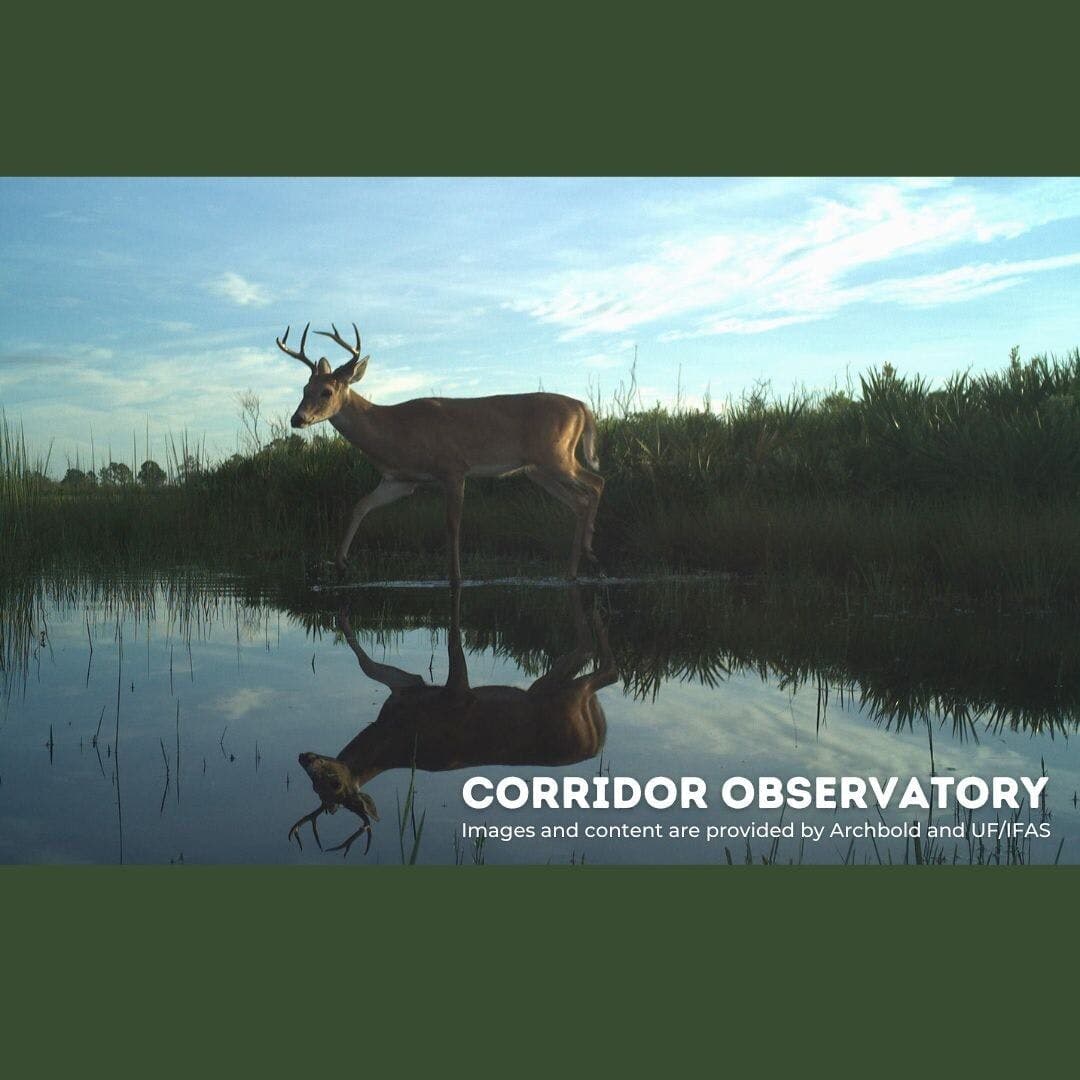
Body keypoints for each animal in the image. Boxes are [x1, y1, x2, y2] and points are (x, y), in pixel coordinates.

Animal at [276, 322, 605, 583]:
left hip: (557, 456)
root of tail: (582, 407)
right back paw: (578, 564)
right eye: (304, 389)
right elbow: (360, 505)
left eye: (327, 392)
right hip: (538, 470)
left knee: (595, 483)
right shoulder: (401, 481)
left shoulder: (453, 468)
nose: (297, 419)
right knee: (580, 499)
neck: (393, 430)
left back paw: (585, 556)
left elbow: (452, 524)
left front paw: (455, 577)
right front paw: (341, 562)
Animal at [287, 585, 617, 857]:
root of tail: (598, 742)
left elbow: (368, 663)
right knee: (598, 662)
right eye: (314, 787)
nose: (305, 756)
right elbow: (366, 663)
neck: (392, 739)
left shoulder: (434, 694)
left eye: (334, 782)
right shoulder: (407, 687)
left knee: (606, 668)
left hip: (567, 695)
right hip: (555, 686)